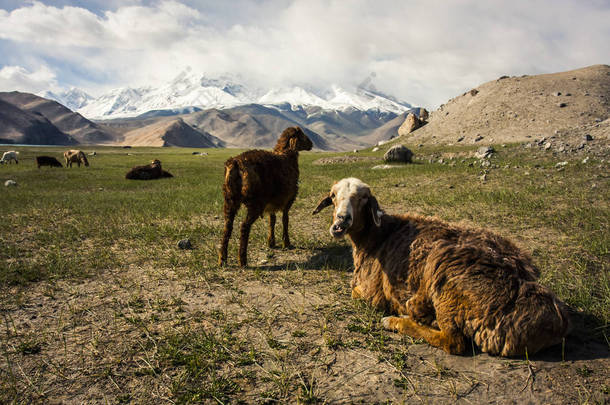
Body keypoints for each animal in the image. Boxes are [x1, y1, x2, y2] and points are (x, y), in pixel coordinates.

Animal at [218, 124, 314, 266]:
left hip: (230, 199)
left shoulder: (271, 203)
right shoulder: (288, 199)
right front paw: (286, 243)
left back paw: (222, 259)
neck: (287, 155)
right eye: (302, 135)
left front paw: (271, 242)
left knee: (227, 227)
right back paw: (242, 259)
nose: (311, 144)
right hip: (255, 202)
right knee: (244, 226)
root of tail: (236, 163)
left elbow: (272, 220)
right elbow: (285, 220)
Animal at [314, 178, 568, 356]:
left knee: (453, 342)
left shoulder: (371, 293)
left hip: (446, 280)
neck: (376, 236)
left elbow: (355, 293)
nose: (341, 221)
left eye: (363, 198)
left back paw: (398, 321)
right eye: (333, 196)